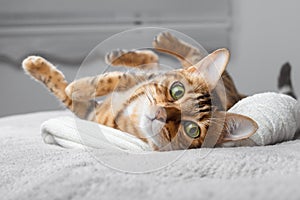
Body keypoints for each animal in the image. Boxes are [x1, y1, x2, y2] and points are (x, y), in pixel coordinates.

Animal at [23, 31, 258, 150]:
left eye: (193, 130)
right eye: (177, 91)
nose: (161, 114)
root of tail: (238, 93)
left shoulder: (87, 112)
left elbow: (63, 92)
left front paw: (73, 87)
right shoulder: (139, 79)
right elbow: (112, 79)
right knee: (161, 57)